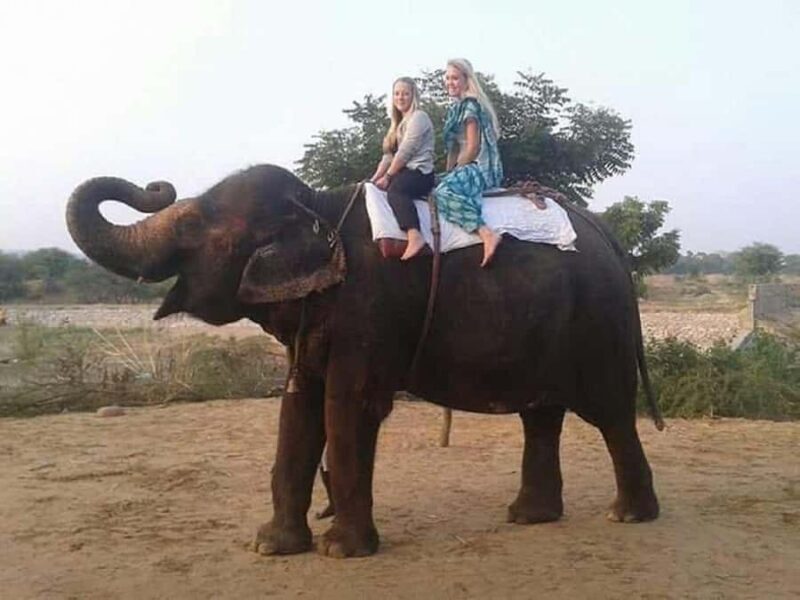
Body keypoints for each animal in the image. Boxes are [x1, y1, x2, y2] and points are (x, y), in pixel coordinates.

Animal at [66, 164, 662, 558]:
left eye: (191, 227)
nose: (155, 186)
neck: (319, 208)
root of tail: (607, 237)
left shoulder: (370, 307)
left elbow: (348, 405)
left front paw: (340, 552)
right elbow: (299, 407)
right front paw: (271, 547)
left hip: (597, 320)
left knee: (610, 412)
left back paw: (629, 515)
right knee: (541, 414)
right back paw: (528, 518)